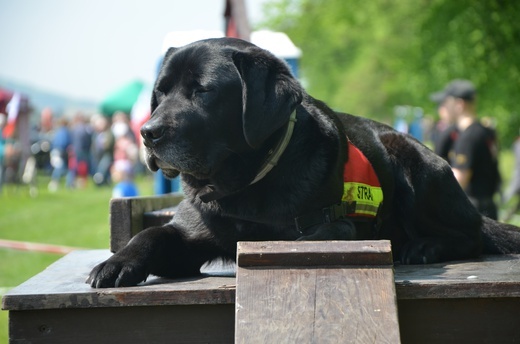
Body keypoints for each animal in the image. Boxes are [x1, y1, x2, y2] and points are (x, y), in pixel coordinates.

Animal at [87, 37, 516, 288]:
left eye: (202, 91)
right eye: (160, 93)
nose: (148, 132)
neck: (245, 186)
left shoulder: (335, 227)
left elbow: (291, 241)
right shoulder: (191, 236)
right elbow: (151, 234)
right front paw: (117, 262)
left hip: (414, 164)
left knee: (472, 234)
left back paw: (425, 246)